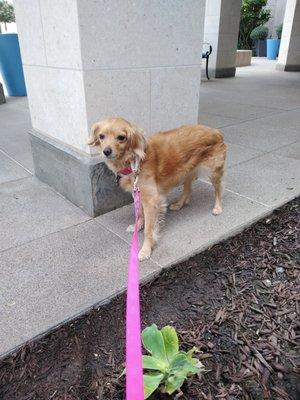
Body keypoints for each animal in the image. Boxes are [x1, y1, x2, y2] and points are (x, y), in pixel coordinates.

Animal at [88, 117, 226, 260]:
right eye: (101, 136)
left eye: (121, 137)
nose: (106, 151)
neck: (134, 161)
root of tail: (215, 130)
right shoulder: (139, 193)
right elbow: (140, 213)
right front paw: (138, 225)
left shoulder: (151, 200)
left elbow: (149, 229)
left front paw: (146, 249)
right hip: (186, 172)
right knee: (188, 189)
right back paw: (179, 204)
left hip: (213, 172)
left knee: (218, 189)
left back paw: (217, 207)